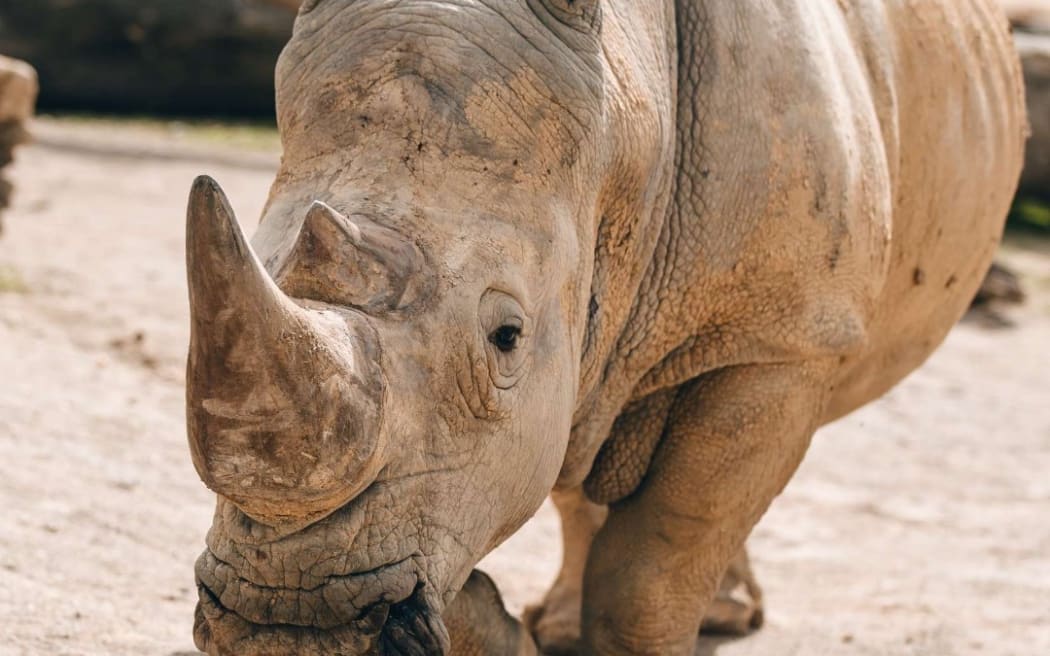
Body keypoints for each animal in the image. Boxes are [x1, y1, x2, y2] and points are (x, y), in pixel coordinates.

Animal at [184, 1, 1026, 654]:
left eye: (507, 337)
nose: (289, 618)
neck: (628, 124)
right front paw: (488, 619)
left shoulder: (779, 338)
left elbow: (656, 562)